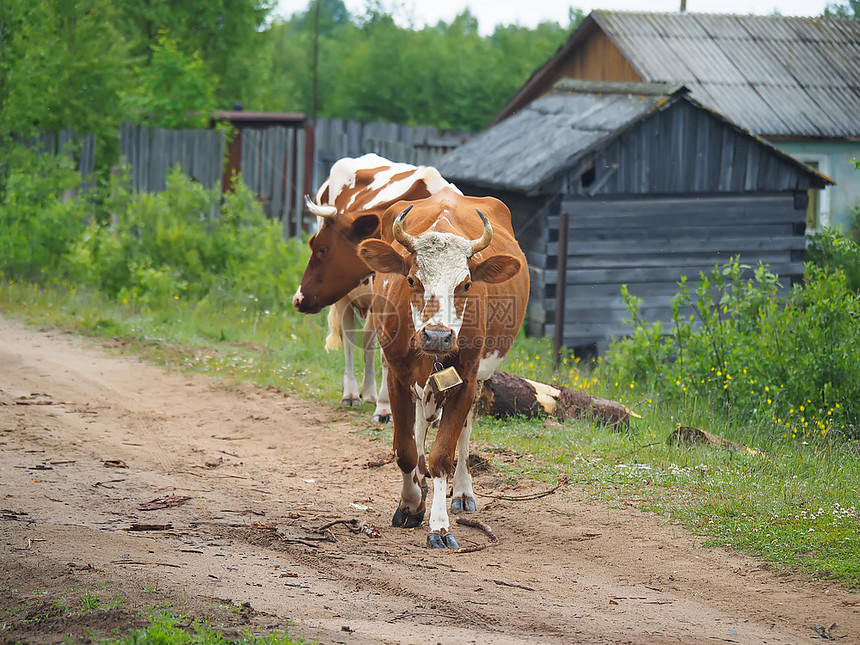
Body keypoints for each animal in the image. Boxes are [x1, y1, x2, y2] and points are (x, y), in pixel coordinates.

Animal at [294, 152, 460, 422]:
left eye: (322, 249)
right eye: (315, 245)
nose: (299, 299)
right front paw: (385, 407)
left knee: (368, 341)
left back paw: (369, 393)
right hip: (345, 298)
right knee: (351, 340)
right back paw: (351, 393)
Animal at [358, 187, 532, 548]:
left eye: (465, 285)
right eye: (412, 279)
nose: (438, 335)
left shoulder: (465, 381)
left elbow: (442, 454)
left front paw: (439, 525)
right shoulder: (396, 378)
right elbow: (406, 450)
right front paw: (411, 505)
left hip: (478, 379)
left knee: (464, 429)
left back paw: (462, 492)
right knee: (419, 432)